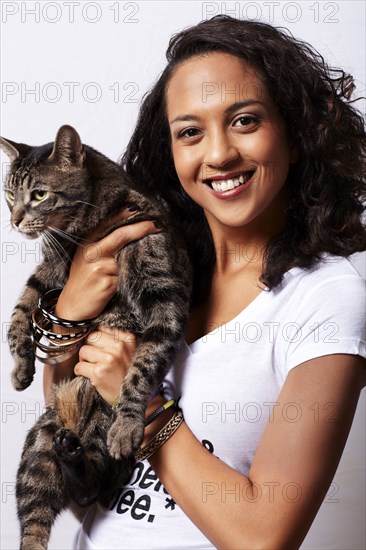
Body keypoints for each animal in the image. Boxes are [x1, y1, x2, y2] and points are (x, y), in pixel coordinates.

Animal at [0, 126, 192, 550]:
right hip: (40, 446)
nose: (15, 220)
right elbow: (21, 306)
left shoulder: (164, 298)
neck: (78, 232)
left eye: (39, 194)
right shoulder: (52, 271)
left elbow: (143, 365)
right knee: (40, 519)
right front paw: (21, 367)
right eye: (8, 193)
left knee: (87, 487)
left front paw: (128, 423)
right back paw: (71, 457)